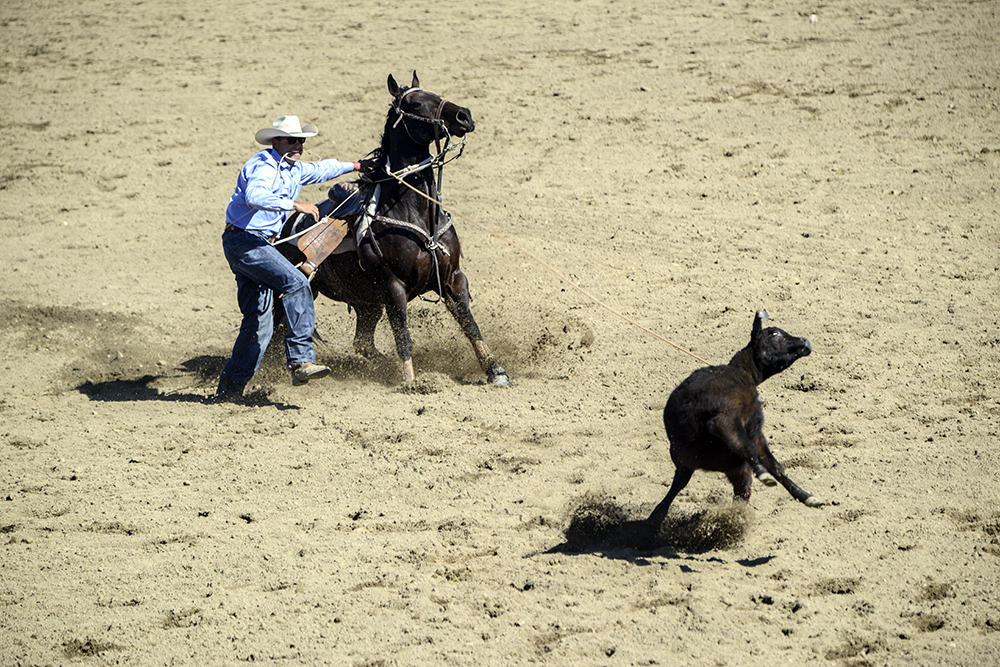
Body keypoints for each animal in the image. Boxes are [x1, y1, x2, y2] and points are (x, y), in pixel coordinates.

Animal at [276, 72, 508, 386]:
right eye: (416, 103)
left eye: (436, 94)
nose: (464, 116)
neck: (417, 213)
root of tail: (285, 229)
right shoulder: (392, 286)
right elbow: (404, 336)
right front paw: (411, 382)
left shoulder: (454, 277)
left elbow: (471, 326)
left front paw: (495, 371)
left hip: (367, 303)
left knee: (363, 343)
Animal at [644, 310, 824, 532]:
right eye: (774, 334)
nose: (805, 341)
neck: (744, 373)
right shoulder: (734, 418)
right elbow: (756, 452)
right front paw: (767, 475)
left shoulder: (754, 431)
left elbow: (775, 465)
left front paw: (807, 497)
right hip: (724, 431)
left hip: (711, 466)